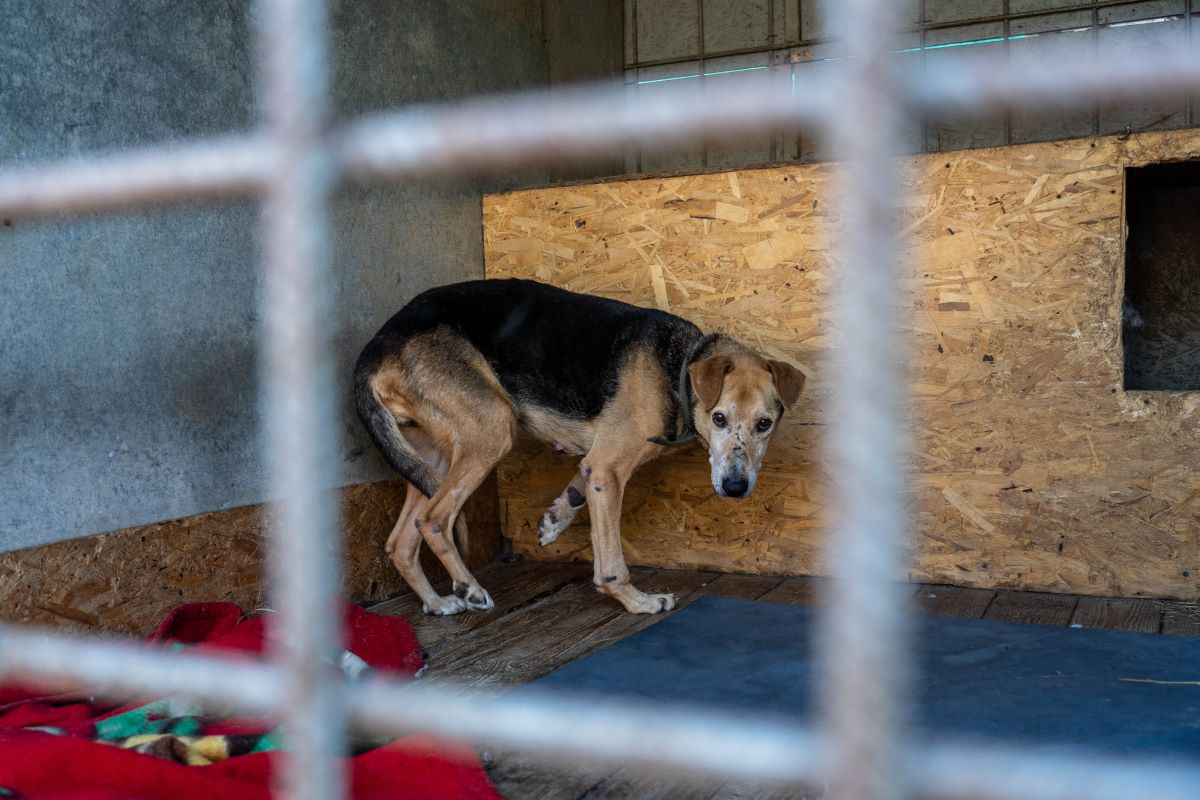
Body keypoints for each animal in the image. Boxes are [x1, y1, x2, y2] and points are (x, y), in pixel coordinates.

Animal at [355, 278, 806, 618]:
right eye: (719, 419)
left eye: (764, 425)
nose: (735, 488)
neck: (679, 366)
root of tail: (378, 345)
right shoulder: (608, 472)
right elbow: (611, 563)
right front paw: (637, 602)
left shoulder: (595, 466)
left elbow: (576, 488)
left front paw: (554, 519)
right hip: (492, 430)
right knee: (433, 520)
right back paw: (468, 587)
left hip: (434, 456)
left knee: (402, 540)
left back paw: (436, 603)